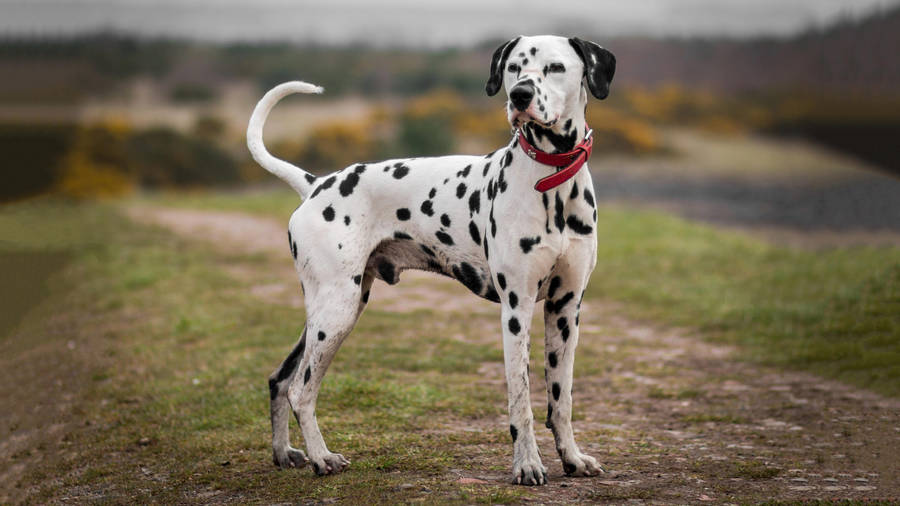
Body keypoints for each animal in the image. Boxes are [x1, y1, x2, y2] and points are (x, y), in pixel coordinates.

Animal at [244, 35, 612, 486]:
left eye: (555, 67)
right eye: (514, 68)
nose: (520, 95)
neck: (551, 182)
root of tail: (316, 184)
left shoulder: (565, 309)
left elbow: (561, 399)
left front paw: (572, 458)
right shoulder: (517, 310)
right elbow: (521, 402)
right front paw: (527, 464)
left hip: (328, 314)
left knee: (280, 379)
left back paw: (284, 452)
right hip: (336, 314)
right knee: (301, 389)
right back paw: (321, 457)